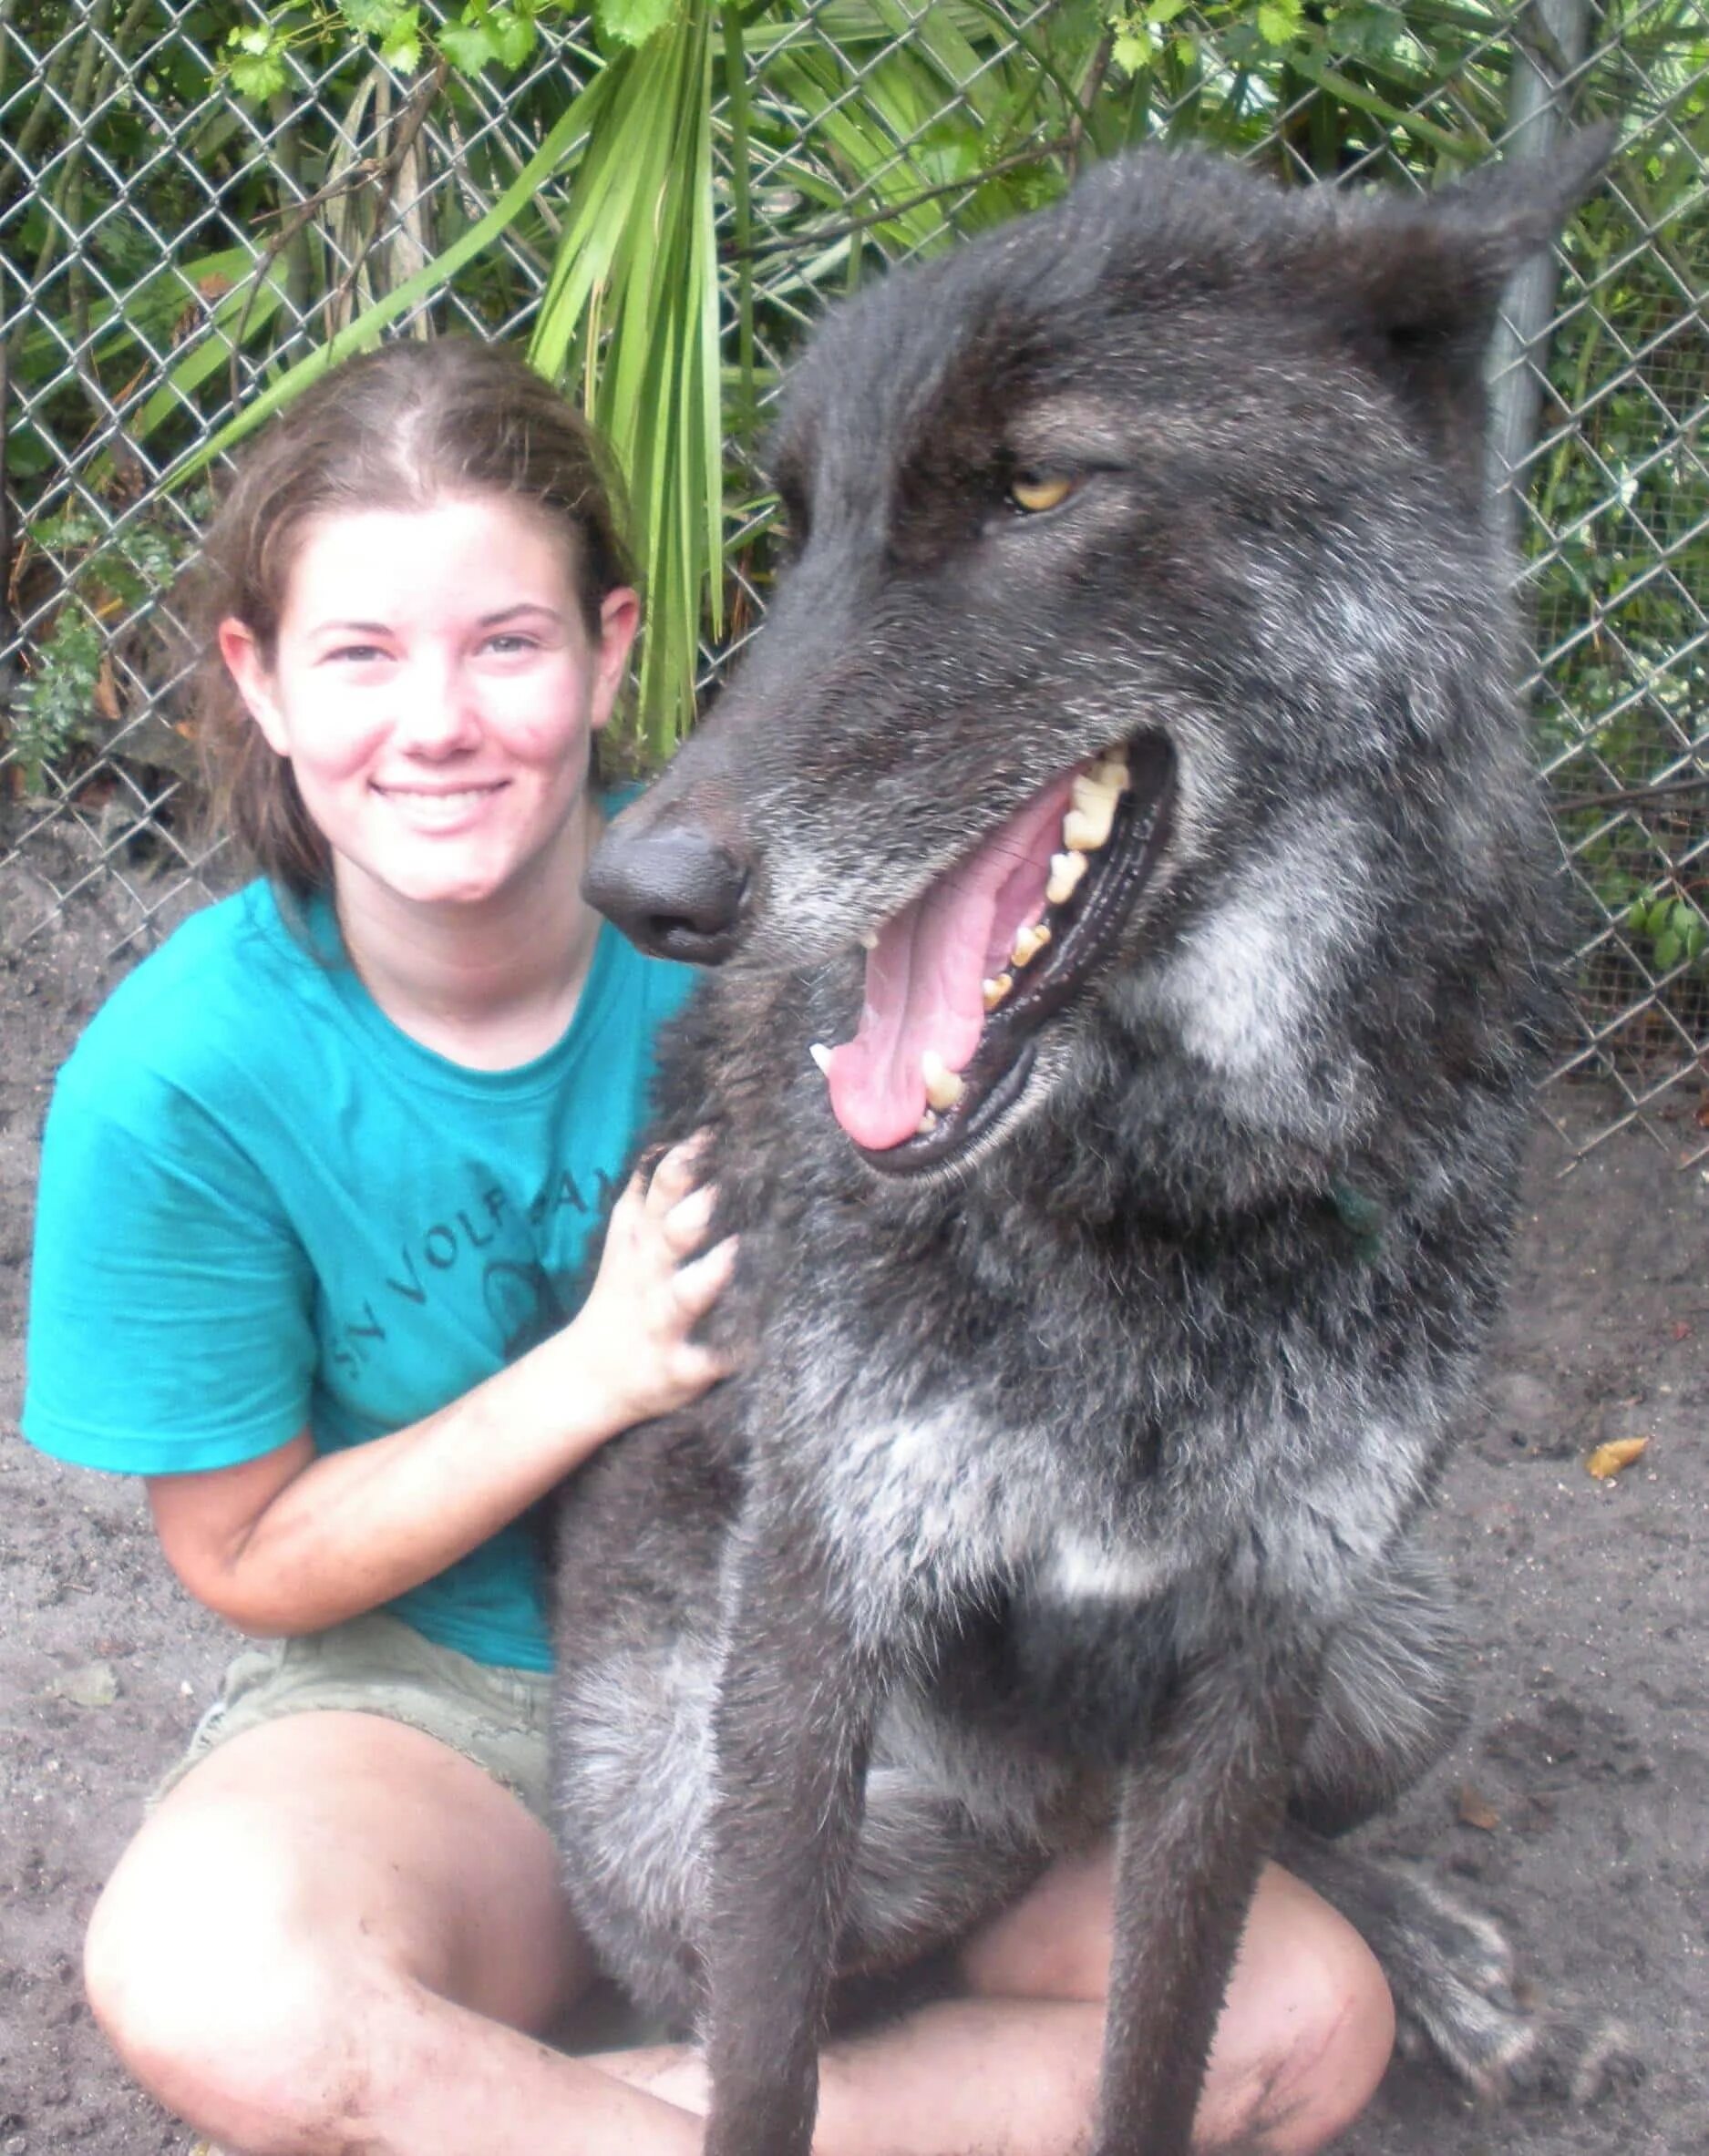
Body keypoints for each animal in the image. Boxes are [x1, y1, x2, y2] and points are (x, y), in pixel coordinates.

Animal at [556, 139, 1613, 2156]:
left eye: (1035, 486)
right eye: (797, 523)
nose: (643, 886)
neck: (1158, 1197)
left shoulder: (1268, 1638)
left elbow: (1163, 2039)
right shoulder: (814, 1621)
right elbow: (769, 2070)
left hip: (1398, 1663)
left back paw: (1447, 1965)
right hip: (707, 1801)